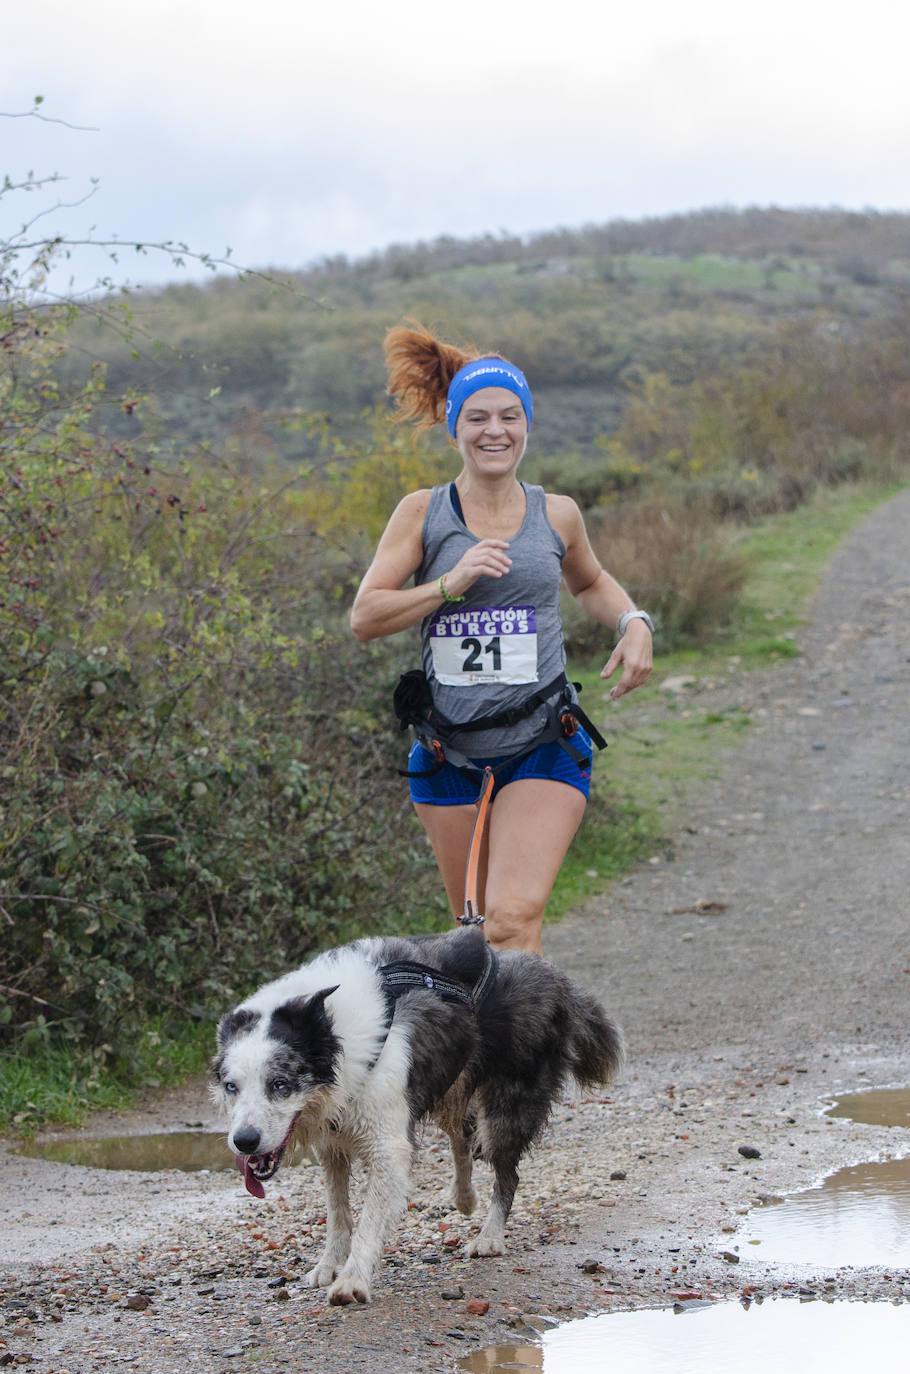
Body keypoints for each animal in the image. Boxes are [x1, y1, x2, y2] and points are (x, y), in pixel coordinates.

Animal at [214, 928, 624, 1302]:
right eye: (231, 1086)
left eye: (280, 1083)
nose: (244, 1142)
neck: (336, 1034)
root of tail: (555, 978)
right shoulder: (332, 1143)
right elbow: (337, 1211)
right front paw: (329, 1264)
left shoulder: (387, 1144)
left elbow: (369, 1220)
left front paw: (352, 1280)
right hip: (453, 1087)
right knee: (462, 1136)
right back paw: (464, 1196)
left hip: (507, 1107)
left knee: (506, 1173)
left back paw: (489, 1237)